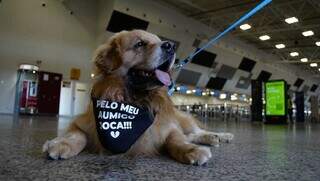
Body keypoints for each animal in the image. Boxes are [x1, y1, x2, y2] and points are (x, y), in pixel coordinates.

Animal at [42, 29, 232, 165]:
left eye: (158, 40)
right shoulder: (81, 122)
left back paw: (219, 135)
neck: (134, 101)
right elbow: (77, 136)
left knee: (196, 131)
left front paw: (191, 150)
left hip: (182, 119)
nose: (170, 46)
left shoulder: (167, 126)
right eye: (140, 44)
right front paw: (61, 144)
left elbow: (177, 139)